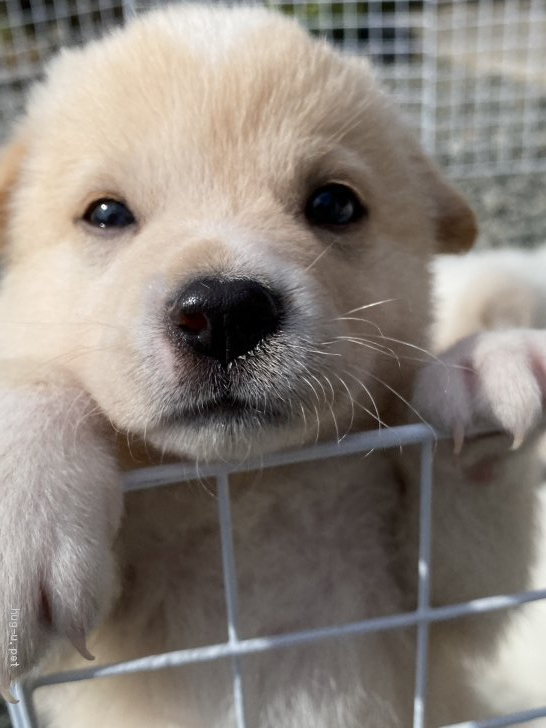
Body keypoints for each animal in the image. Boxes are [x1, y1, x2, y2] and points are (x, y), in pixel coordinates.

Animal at [0, 7, 540, 728]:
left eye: (334, 205)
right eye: (107, 213)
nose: (225, 312)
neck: (250, 496)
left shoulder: (433, 600)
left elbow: (469, 537)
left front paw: (486, 367)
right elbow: (36, 379)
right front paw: (20, 499)